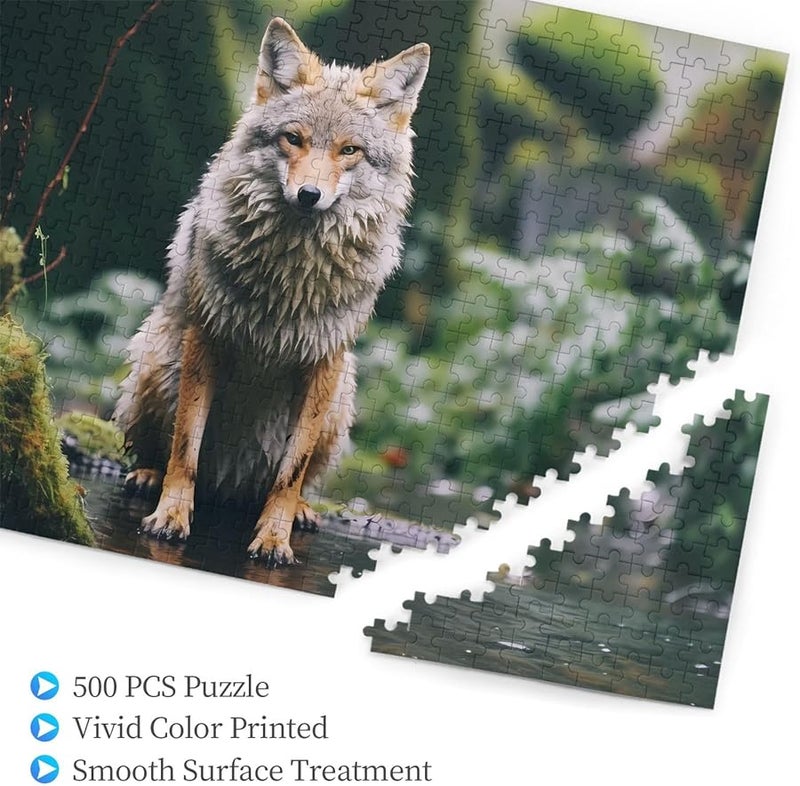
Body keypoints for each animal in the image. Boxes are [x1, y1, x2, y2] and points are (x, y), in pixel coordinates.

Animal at [114, 18, 430, 565]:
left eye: (349, 150)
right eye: (293, 139)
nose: (309, 195)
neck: (291, 276)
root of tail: (228, 485)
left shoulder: (325, 360)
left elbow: (291, 471)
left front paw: (274, 538)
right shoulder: (206, 337)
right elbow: (185, 447)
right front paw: (171, 517)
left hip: (341, 396)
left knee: (293, 477)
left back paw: (300, 512)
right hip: (157, 358)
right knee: (158, 446)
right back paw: (148, 476)